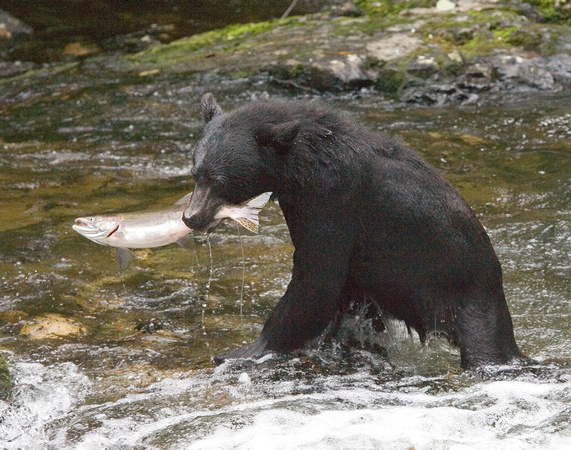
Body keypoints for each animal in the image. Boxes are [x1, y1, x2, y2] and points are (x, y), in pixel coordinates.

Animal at [184, 92, 528, 370]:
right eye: (195, 173)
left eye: (220, 180)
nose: (191, 217)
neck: (299, 168)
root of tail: (496, 274)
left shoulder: (332, 201)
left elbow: (317, 277)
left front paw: (242, 351)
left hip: (467, 294)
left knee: (485, 344)